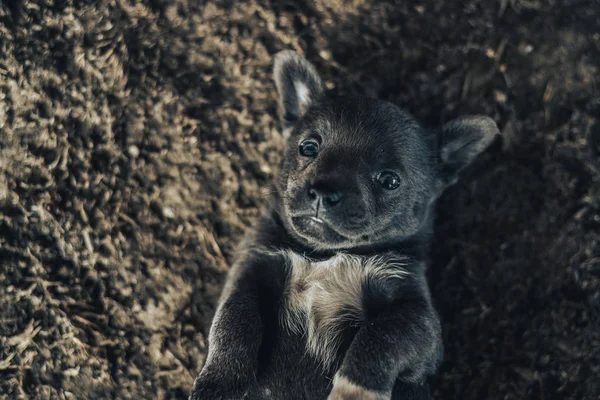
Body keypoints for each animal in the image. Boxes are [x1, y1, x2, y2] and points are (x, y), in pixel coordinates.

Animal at [190, 51, 500, 398]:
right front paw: (217, 384)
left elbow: (384, 334)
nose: (324, 193)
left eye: (390, 181)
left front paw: (355, 389)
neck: (324, 255)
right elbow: (234, 322)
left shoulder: (419, 321)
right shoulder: (250, 274)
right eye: (308, 147)